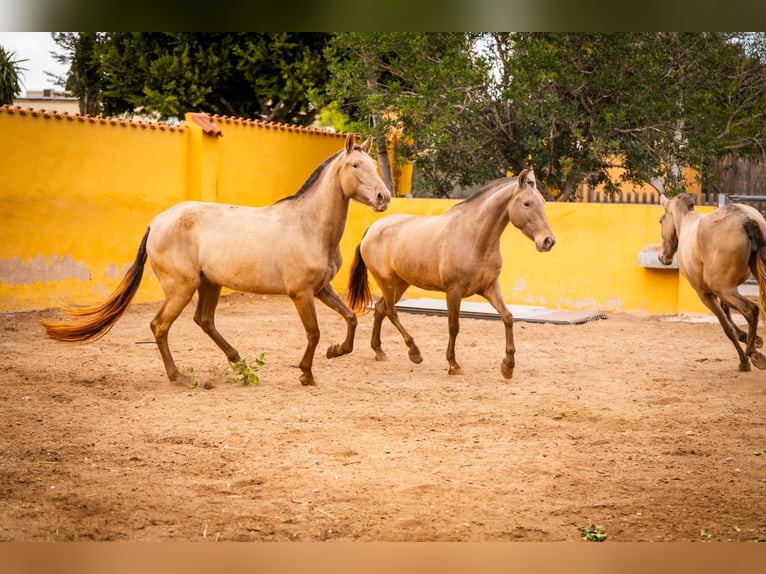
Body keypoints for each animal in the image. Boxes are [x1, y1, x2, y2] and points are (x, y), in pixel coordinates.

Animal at [42, 134, 391, 386]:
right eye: (356, 166)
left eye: (373, 164)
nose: (383, 197)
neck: (308, 226)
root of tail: (157, 222)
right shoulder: (301, 293)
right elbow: (314, 332)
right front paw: (306, 373)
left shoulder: (321, 288)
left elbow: (351, 317)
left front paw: (336, 352)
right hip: (182, 287)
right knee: (159, 325)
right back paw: (179, 377)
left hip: (209, 283)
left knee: (204, 320)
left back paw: (239, 363)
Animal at [347, 169, 556, 379]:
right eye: (527, 203)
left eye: (543, 202)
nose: (548, 241)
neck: (474, 238)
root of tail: (372, 229)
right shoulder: (453, 291)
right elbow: (454, 326)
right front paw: (453, 364)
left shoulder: (490, 287)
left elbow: (508, 317)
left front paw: (508, 365)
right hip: (387, 282)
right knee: (391, 311)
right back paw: (414, 352)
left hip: (401, 283)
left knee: (381, 308)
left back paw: (379, 351)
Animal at [658, 192, 766, 371]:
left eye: (661, 220)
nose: (662, 257)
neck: (686, 222)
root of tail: (747, 219)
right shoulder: (727, 288)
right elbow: (727, 311)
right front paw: (749, 337)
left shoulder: (706, 294)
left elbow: (727, 327)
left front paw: (744, 360)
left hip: (723, 290)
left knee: (751, 310)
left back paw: (752, 354)